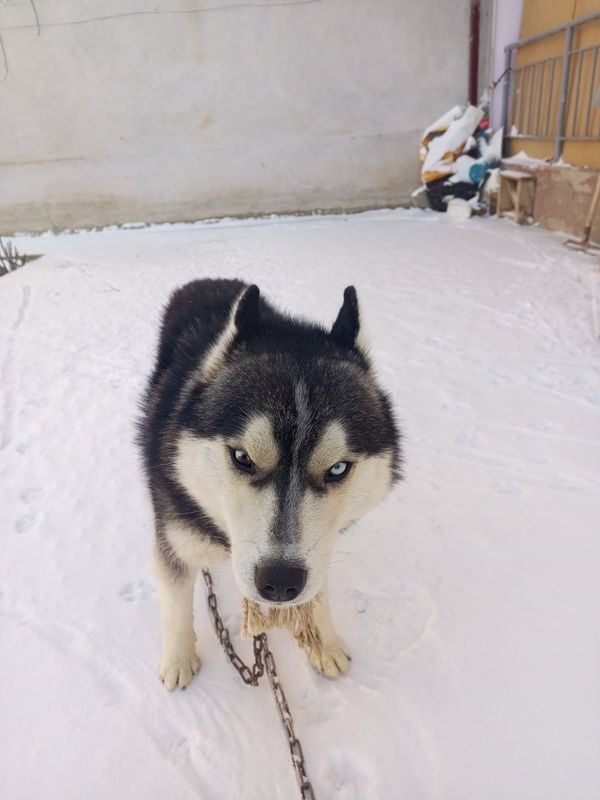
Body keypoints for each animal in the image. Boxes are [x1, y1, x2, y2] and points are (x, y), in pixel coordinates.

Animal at [139, 280, 400, 688]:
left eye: (338, 469)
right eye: (242, 457)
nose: (279, 582)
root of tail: (211, 279)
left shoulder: (318, 548)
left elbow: (317, 591)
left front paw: (324, 643)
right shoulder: (175, 538)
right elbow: (176, 603)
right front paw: (179, 660)